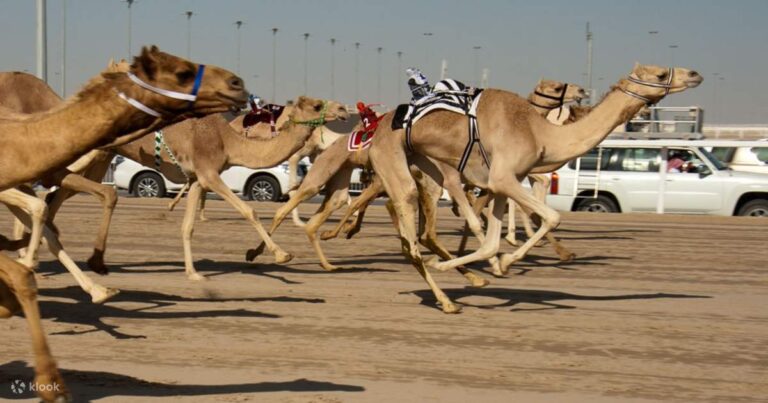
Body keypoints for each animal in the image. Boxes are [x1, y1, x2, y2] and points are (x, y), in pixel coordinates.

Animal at [366, 64, 704, 314]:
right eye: (659, 74)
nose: (694, 74)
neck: (540, 132)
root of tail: (377, 126)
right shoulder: (504, 178)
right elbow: (552, 217)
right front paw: (502, 263)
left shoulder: (499, 184)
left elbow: (491, 242)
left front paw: (497, 265)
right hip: (396, 163)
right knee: (410, 237)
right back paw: (447, 301)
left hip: (430, 167)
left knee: (419, 233)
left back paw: (461, 283)